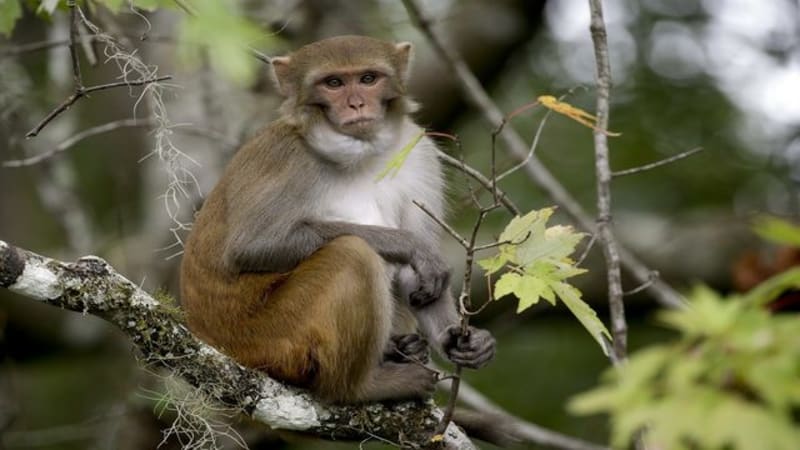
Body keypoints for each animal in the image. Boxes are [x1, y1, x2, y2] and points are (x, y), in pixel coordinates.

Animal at [181, 36, 494, 404]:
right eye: (333, 83)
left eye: (368, 79)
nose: (356, 104)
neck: (361, 153)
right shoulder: (285, 156)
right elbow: (252, 247)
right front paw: (410, 245)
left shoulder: (419, 154)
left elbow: (418, 279)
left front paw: (459, 340)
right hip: (267, 337)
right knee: (352, 255)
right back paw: (363, 388)